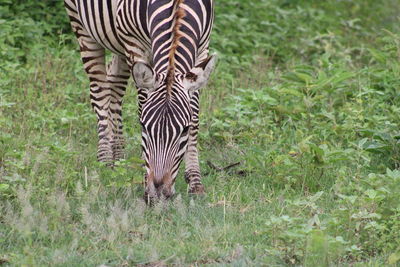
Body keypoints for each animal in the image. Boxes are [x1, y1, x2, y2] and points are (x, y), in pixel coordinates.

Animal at [65, 0, 216, 201]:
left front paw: (195, 182)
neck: (177, 9)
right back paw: (105, 161)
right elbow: (142, 102)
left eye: (184, 129)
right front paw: (146, 182)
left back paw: (119, 155)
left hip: (117, 43)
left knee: (115, 83)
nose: (158, 190)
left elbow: (195, 116)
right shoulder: (134, 43)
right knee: (100, 90)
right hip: (81, 25)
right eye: (143, 126)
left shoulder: (202, 47)